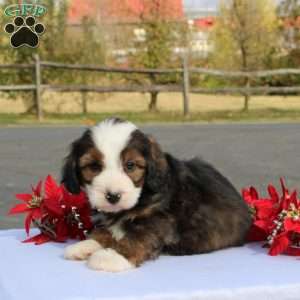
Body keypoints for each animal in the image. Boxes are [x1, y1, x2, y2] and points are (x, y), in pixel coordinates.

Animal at [62, 117, 251, 272]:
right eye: (94, 166)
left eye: (130, 165)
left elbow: (137, 238)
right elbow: (106, 230)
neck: (142, 195)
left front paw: (112, 256)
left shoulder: (159, 219)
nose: (113, 196)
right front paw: (87, 244)